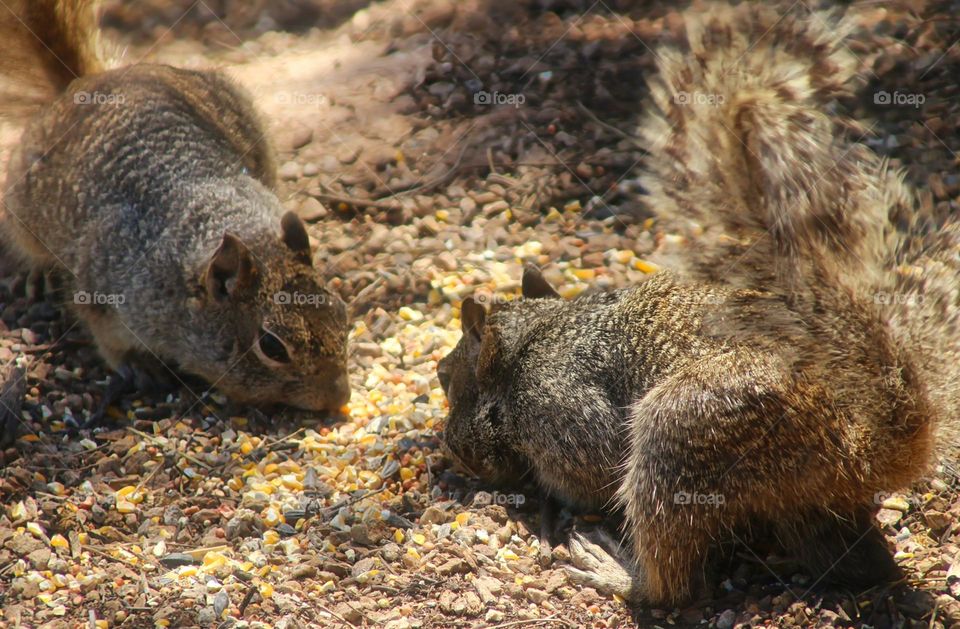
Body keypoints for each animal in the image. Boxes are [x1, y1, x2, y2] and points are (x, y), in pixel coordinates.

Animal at [0, 1, 350, 413]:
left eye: (342, 312)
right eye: (271, 346)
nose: (339, 396)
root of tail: (89, 83)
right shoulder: (105, 287)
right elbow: (108, 339)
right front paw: (138, 366)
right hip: (22, 209)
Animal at [438, 3, 960, 607]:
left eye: (445, 377)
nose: (449, 450)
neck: (536, 339)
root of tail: (859, 449)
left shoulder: (558, 405)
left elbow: (590, 469)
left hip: (679, 435)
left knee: (672, 582)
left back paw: (612, 570)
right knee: (857, 563)